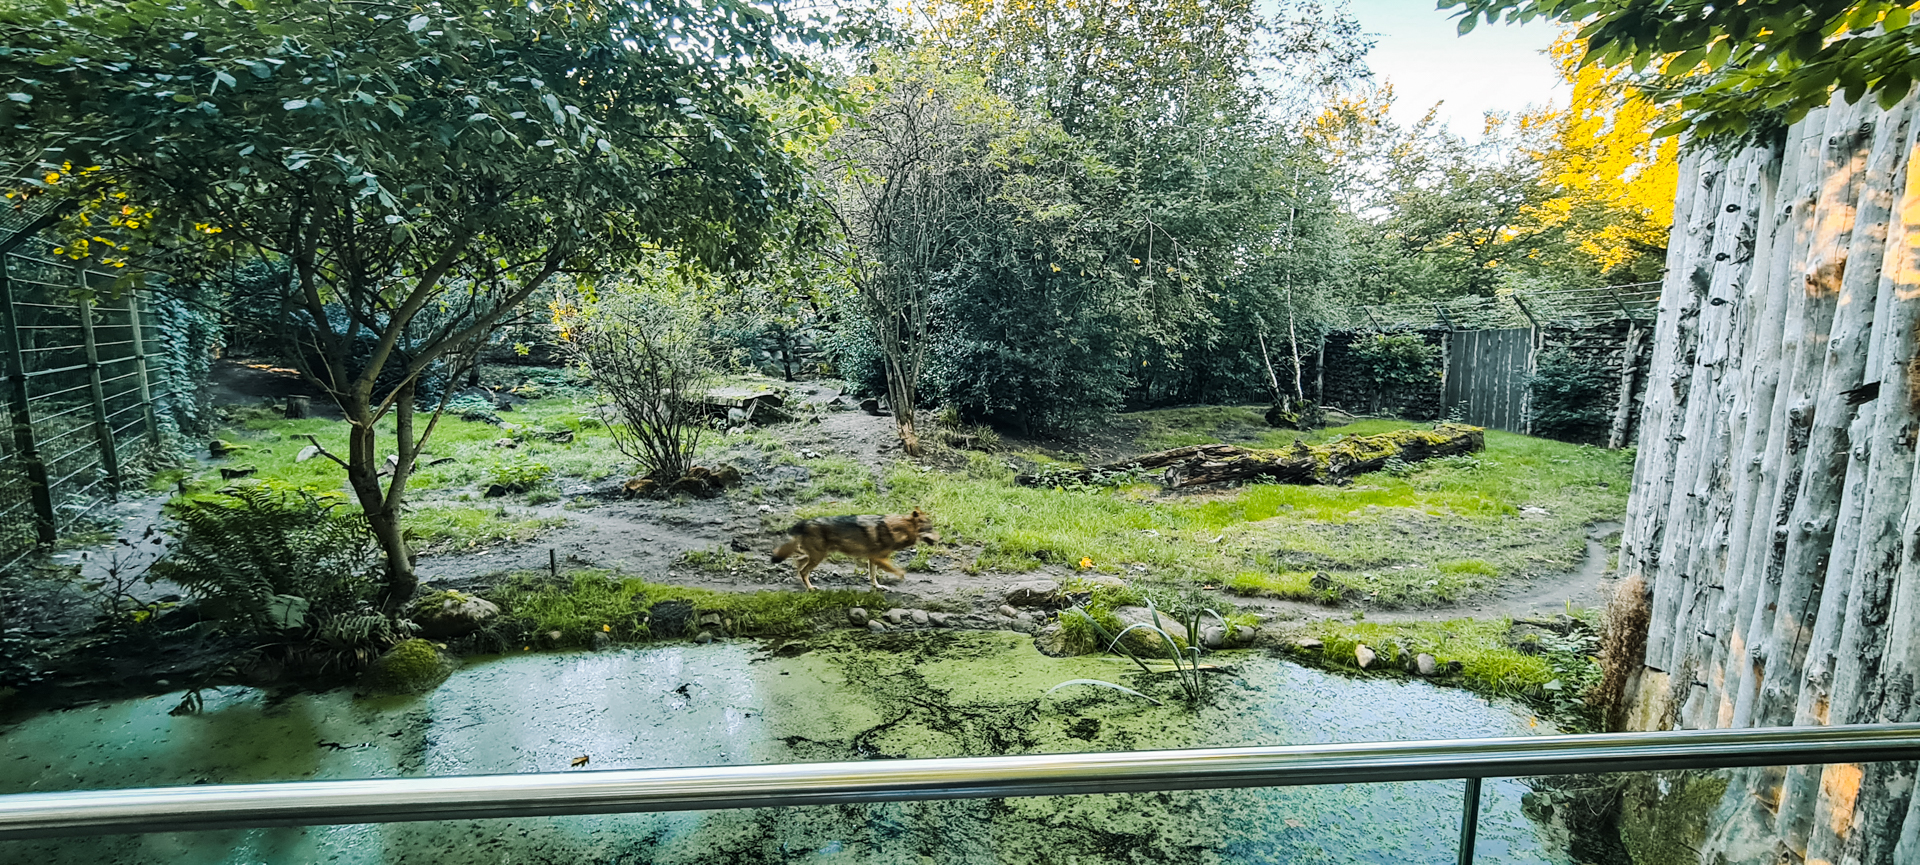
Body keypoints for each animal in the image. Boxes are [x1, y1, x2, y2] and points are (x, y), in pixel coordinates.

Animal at [770, 510, 938, 591]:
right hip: (818, 556)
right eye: (930, 529)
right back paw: (810, 588)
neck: (898, 529)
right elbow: (898, 570)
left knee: (799, 563)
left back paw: (802, 581)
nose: (940, 539)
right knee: (803, 570)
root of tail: (803, 522)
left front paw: (878, 587)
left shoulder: (872, 559)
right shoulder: (878, 558)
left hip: (817, 555)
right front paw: (900, 577)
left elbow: (873, 575)